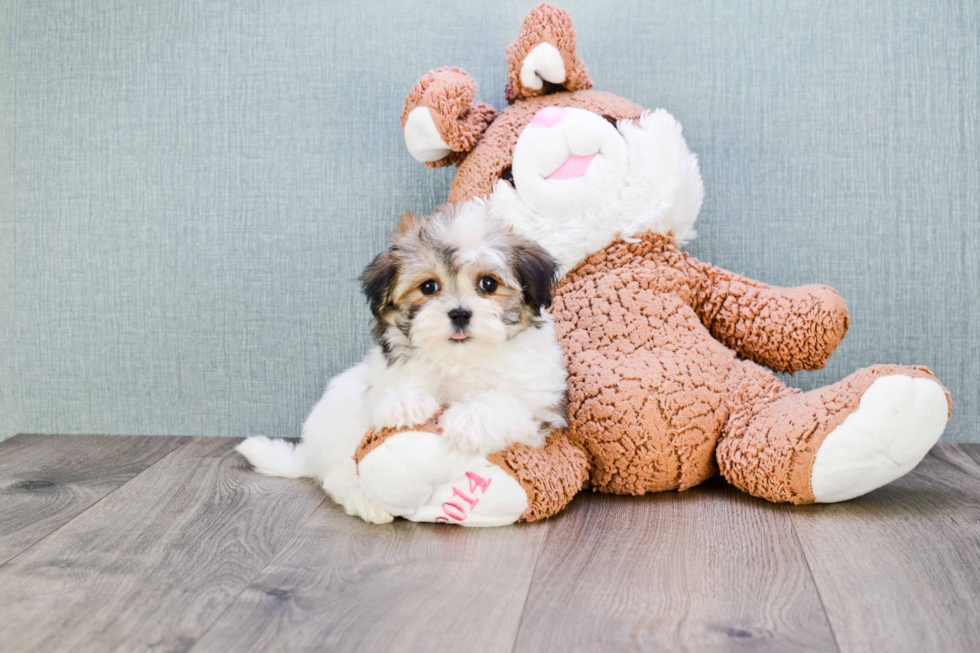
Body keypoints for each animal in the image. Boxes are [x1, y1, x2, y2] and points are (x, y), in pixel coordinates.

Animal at [236, 201, 568, 524]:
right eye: (429, 287)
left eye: (488, 284)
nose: (460, 313)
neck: (460, 360)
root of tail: (311, 453)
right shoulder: (381, 380)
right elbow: (392, 393)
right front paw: (405, 403)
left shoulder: (540, 410)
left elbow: (505, 402)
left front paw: (468, 419)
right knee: (339, 476)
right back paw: (367, 502)